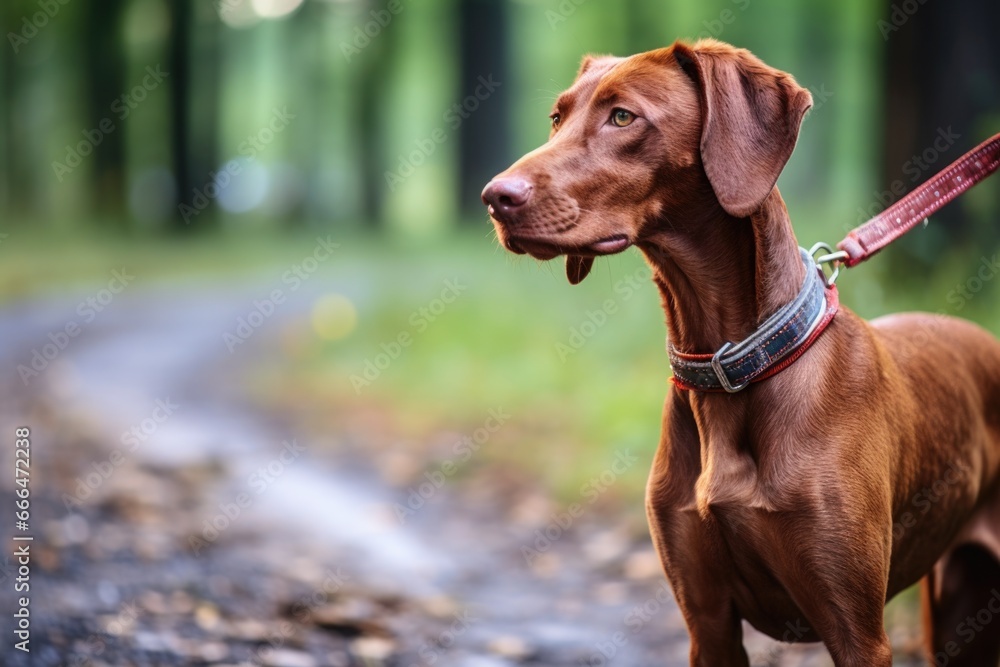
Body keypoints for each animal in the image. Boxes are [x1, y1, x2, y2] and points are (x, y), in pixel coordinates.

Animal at [480, 39, 1000, 664]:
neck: (732, 364)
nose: (494, 198)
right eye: (557, 119)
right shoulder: (707, 623)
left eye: (623, 117)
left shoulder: (857, 632)